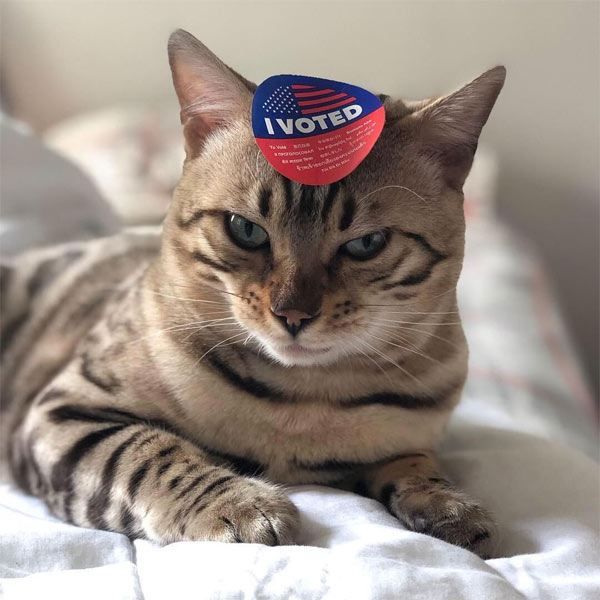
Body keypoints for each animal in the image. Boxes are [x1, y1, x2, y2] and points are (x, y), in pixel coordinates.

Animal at [0, 30, 506, 556]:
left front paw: (448, 504)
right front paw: (241, 506)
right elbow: (149, 453)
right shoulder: (66, 411)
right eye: (245, 230)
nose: (293, 314)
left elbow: (414, 463)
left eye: (367, 243)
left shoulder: (409, 435)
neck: (303, 400)